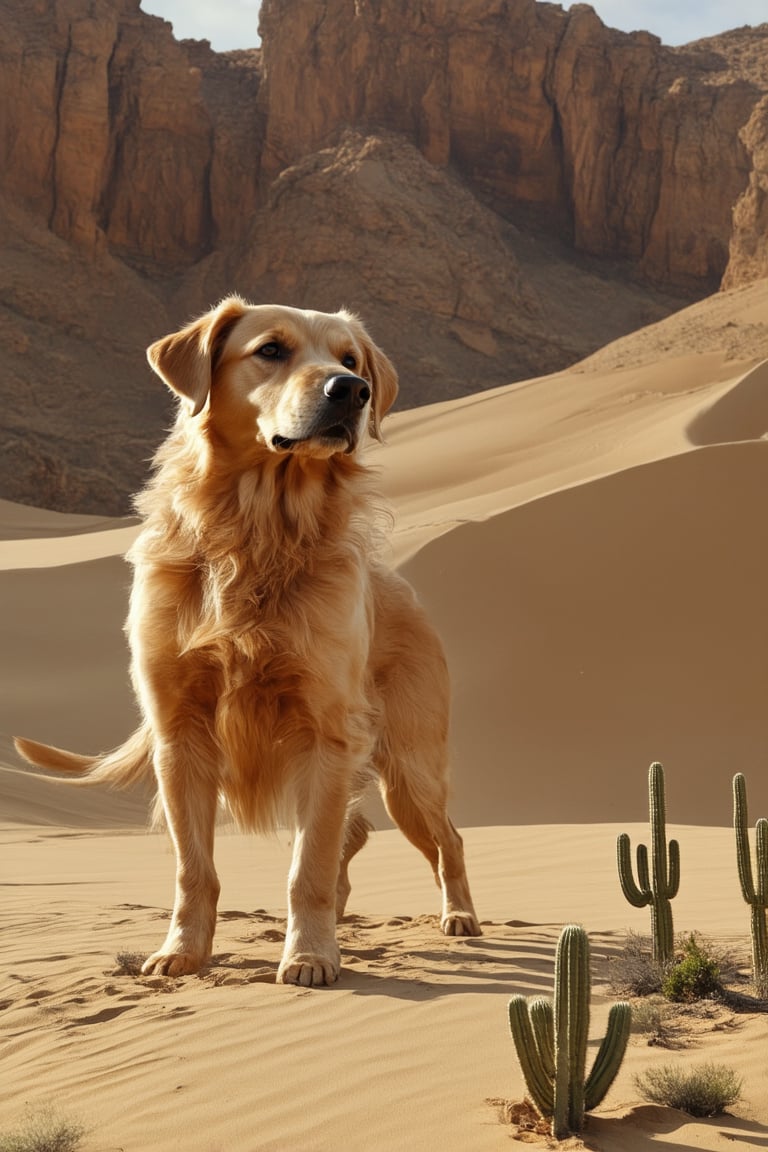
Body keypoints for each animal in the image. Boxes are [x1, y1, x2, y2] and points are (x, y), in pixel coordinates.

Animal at [16, 297, 481, 981]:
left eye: (350, 359)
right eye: (271, 350)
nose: (353, 391)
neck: (256, 530)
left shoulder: (325, 732)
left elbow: (307, 867)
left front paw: (309, 955)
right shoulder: (180, 734)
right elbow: (195, 870)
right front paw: (182, 951)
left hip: (409, 768)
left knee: (444, 836)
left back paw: (459, 915)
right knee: (356, 833)